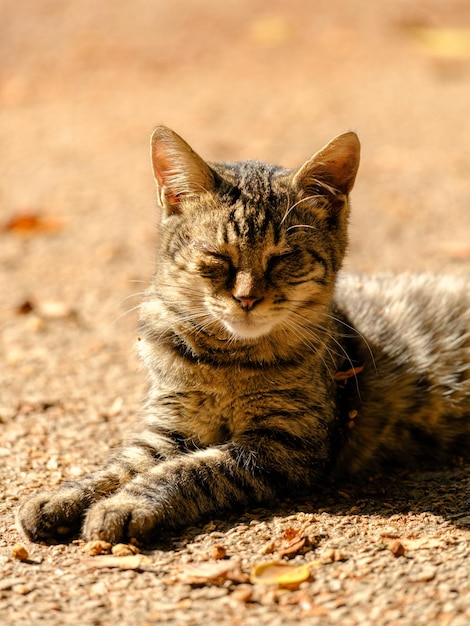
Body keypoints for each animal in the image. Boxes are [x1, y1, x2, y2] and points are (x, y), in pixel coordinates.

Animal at [16, 125, 468, 540]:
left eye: (283, 258)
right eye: (217, 257)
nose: (246, 298)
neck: (227, 359)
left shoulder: (282, 446)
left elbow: (191, 471)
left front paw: (125, 505)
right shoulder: (171, 426)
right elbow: (121, 465)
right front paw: (64, 496)